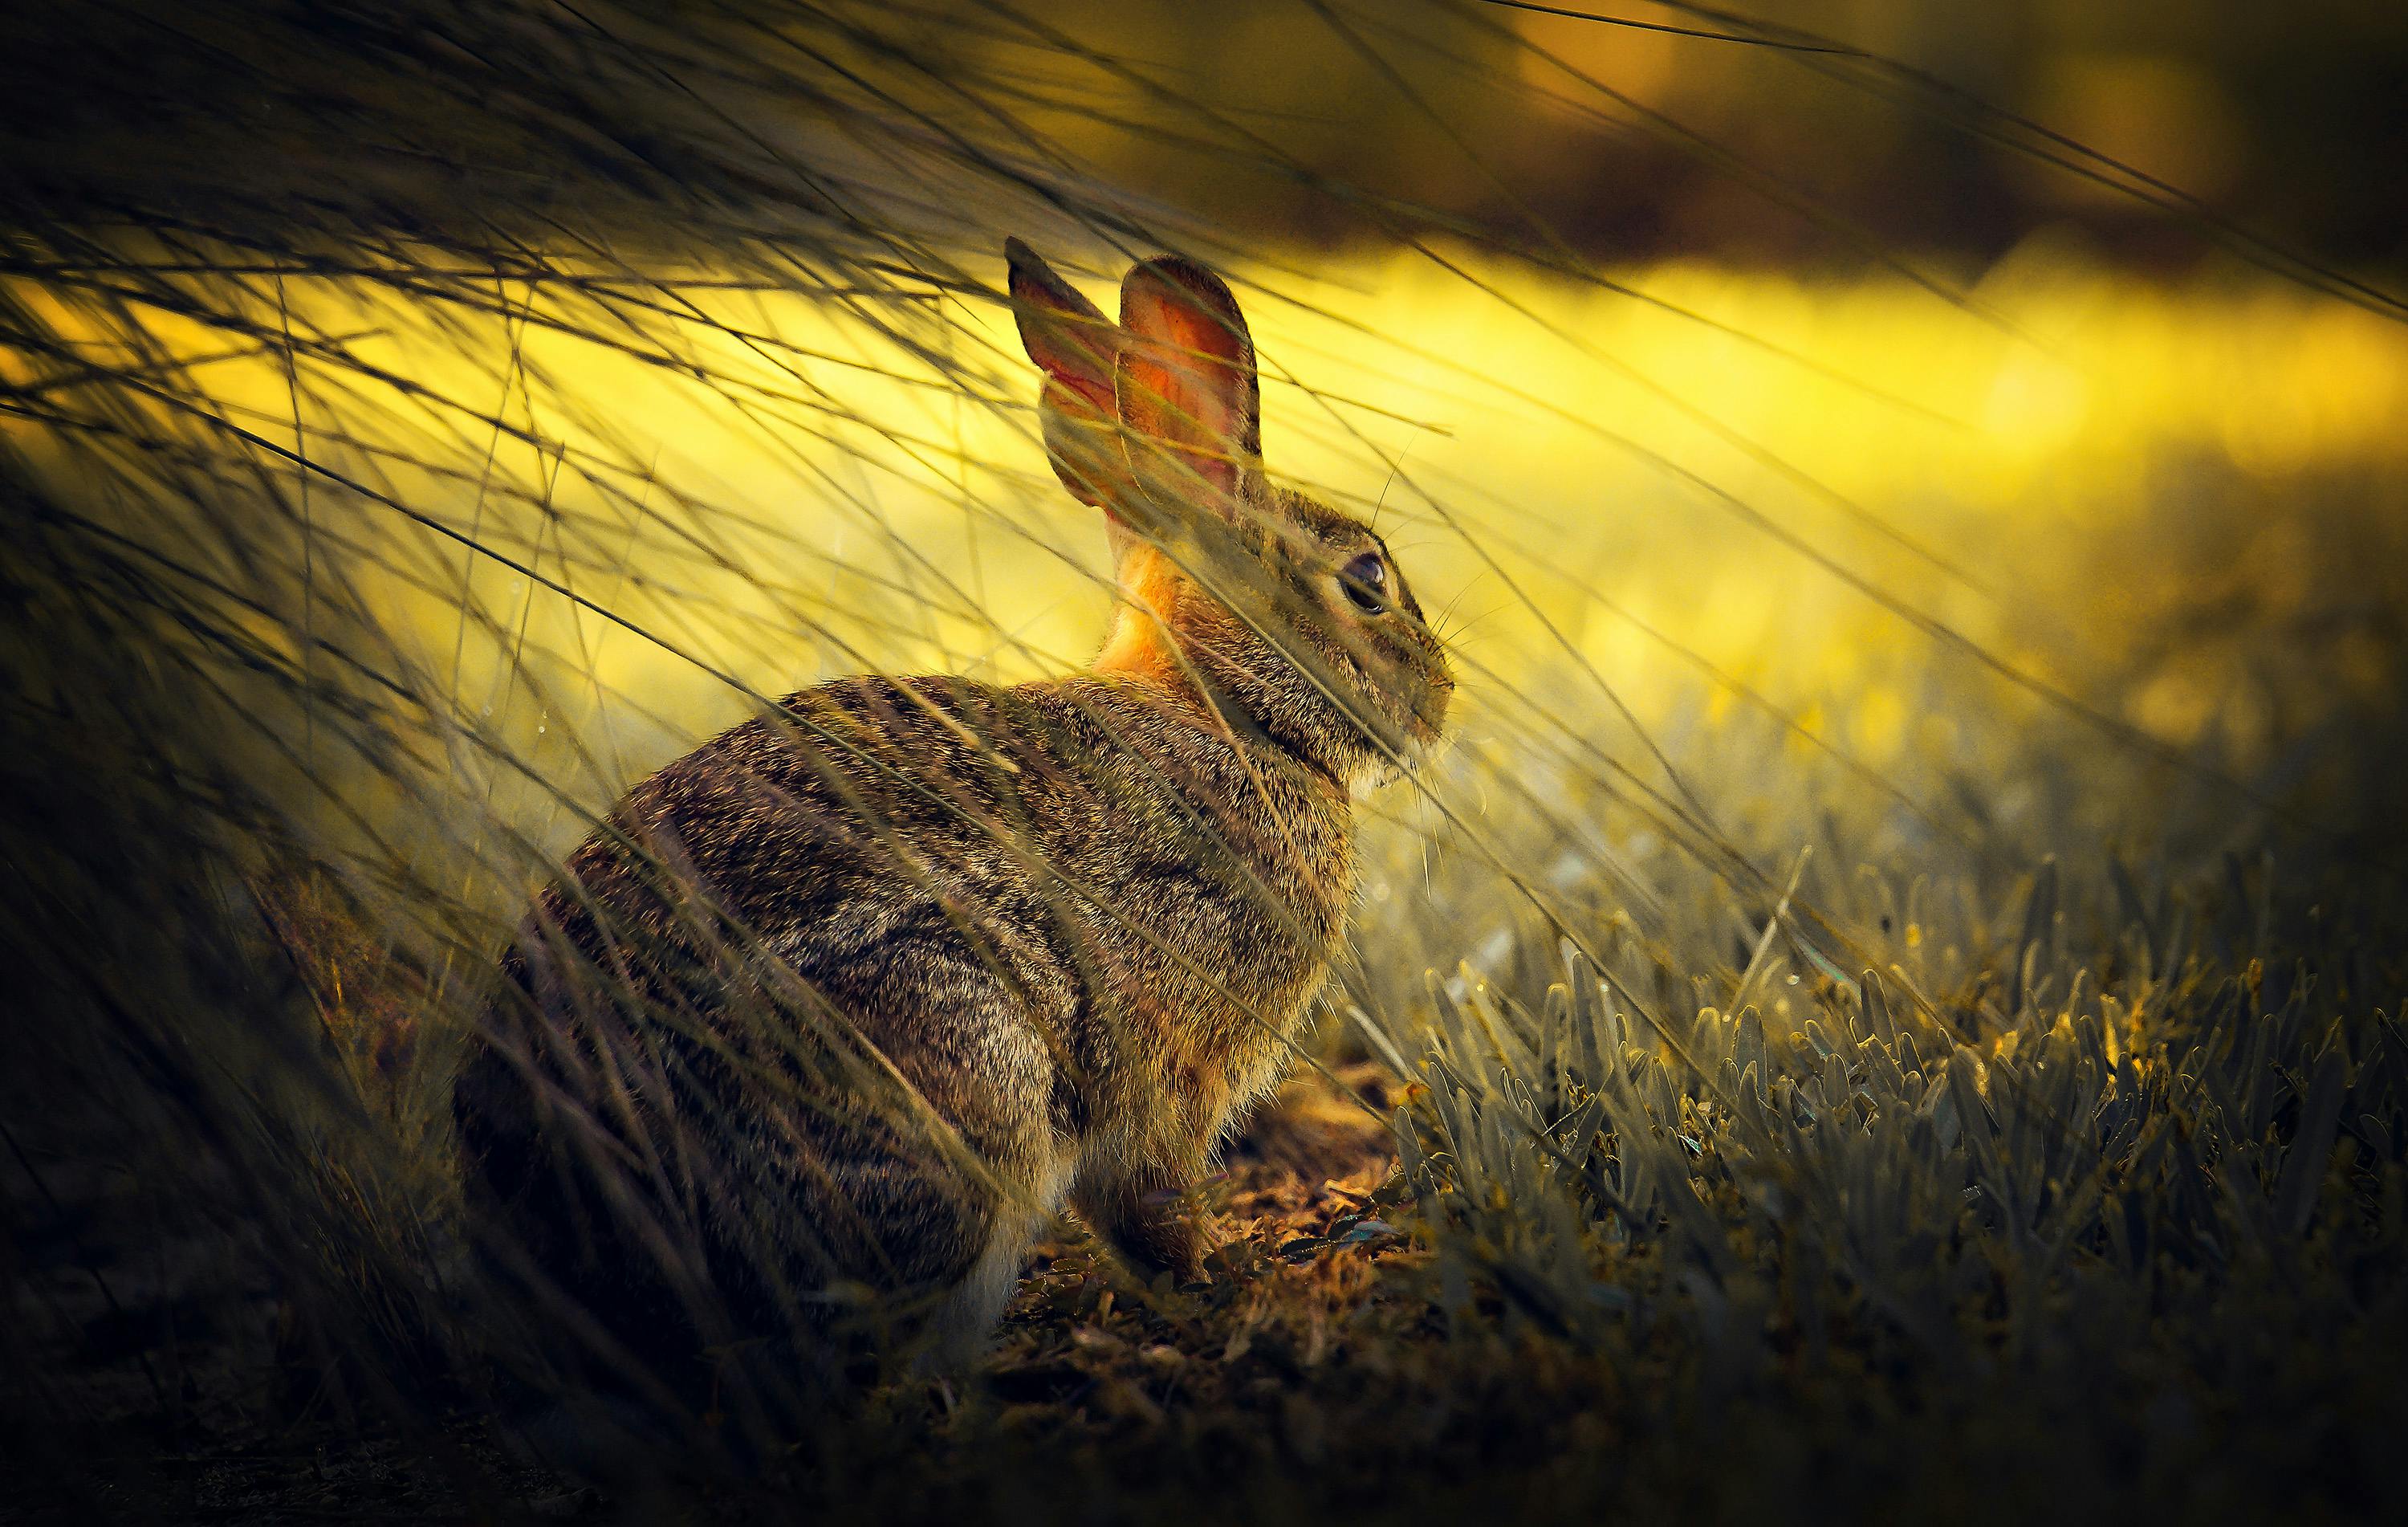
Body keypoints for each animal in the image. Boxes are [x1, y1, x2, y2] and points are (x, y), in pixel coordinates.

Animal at [455, 238, 1445, 1435]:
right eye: (1368, 581)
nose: (1444, 698)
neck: (1232, 714)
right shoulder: (1169, 1055)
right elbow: (1151, 1198)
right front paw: (1217, 1286)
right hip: (954, 1073)